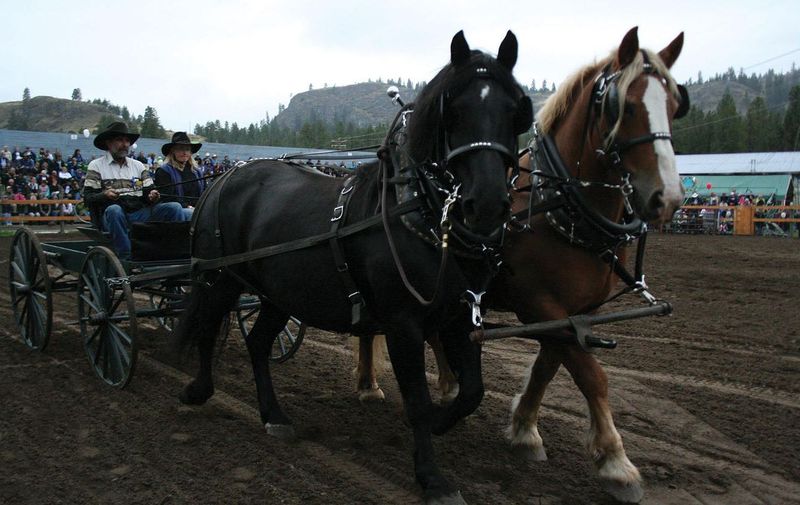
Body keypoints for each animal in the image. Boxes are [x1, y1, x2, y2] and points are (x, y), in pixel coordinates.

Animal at [356, 29, 688, 502]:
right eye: (621, 106)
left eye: (676, 103)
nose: (667, 198)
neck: (555, 207)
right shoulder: (538, 304)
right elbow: (590, 374)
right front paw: (615, 462)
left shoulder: (573, 312)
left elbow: (551, 364)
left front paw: (524, 428)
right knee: (373, 327)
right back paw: (369, 384)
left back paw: (446, 383)